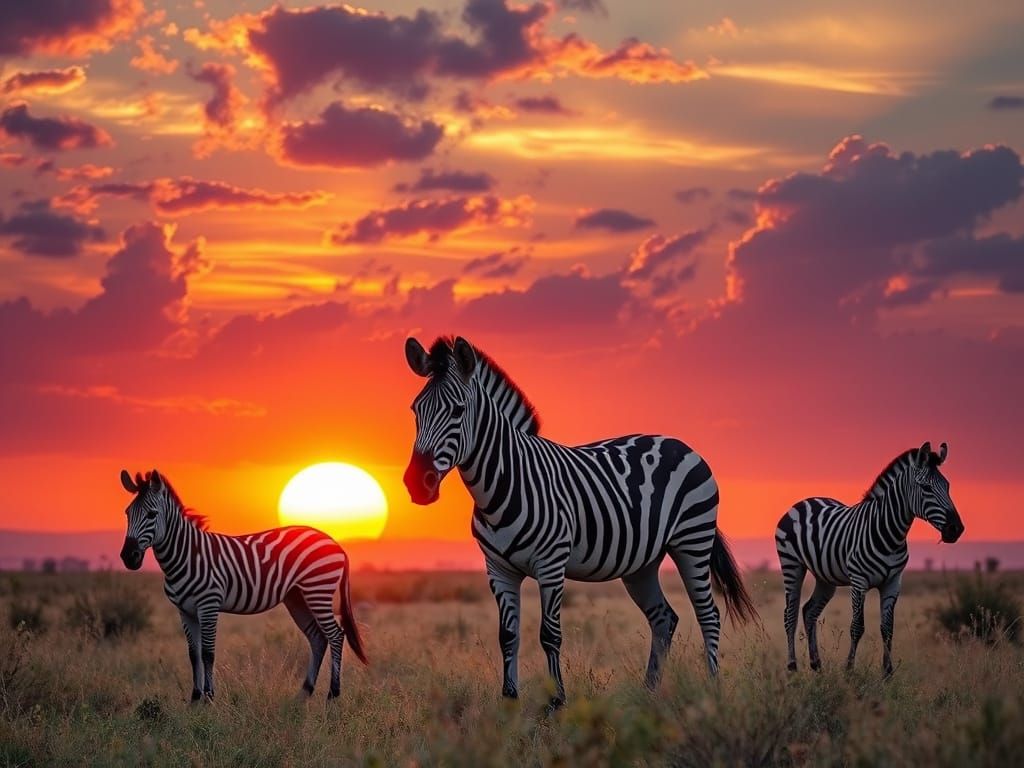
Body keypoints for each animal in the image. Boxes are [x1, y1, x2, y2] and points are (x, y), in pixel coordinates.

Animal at [118, 469, 367, 701]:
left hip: (318, 591)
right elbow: (193, 654)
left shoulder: (209, 605)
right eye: (127, 514)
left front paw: (209, 699)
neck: (187, 556)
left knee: (336, 635)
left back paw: (332, 695)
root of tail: (334, 542)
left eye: (152, 514)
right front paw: (195, 699)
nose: (128, 557)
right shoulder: (185, 610)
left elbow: (208, 653)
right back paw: (303, 694)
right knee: (317, 637)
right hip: (297, 598)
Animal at [402, 336, 757, 709]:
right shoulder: (498, 569)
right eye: (415, 410)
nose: (417, 484)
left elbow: (549, 634)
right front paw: (510, 700)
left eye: (457, 410)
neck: (503, 485)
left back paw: (713, 691)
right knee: (664, 618)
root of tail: (680, 444)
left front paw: (556, 702)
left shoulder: (551, 563)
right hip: (641, 564)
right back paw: (648, 693)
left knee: (708, 615)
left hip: (693, 540)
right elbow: (507, 635)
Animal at [775, 442, 964, 676]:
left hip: (825, 577)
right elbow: (857, 626)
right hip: (791, 564)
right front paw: (849, 670)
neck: (890, 534)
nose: (956, 529)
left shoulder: (893, 582)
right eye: (926, 488)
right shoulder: (859, 581)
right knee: (790, 614)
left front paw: (887, 673)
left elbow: (887, 628)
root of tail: (804, 501)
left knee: (809, 611)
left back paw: (817, 665)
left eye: (947, 487)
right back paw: (792, 667)